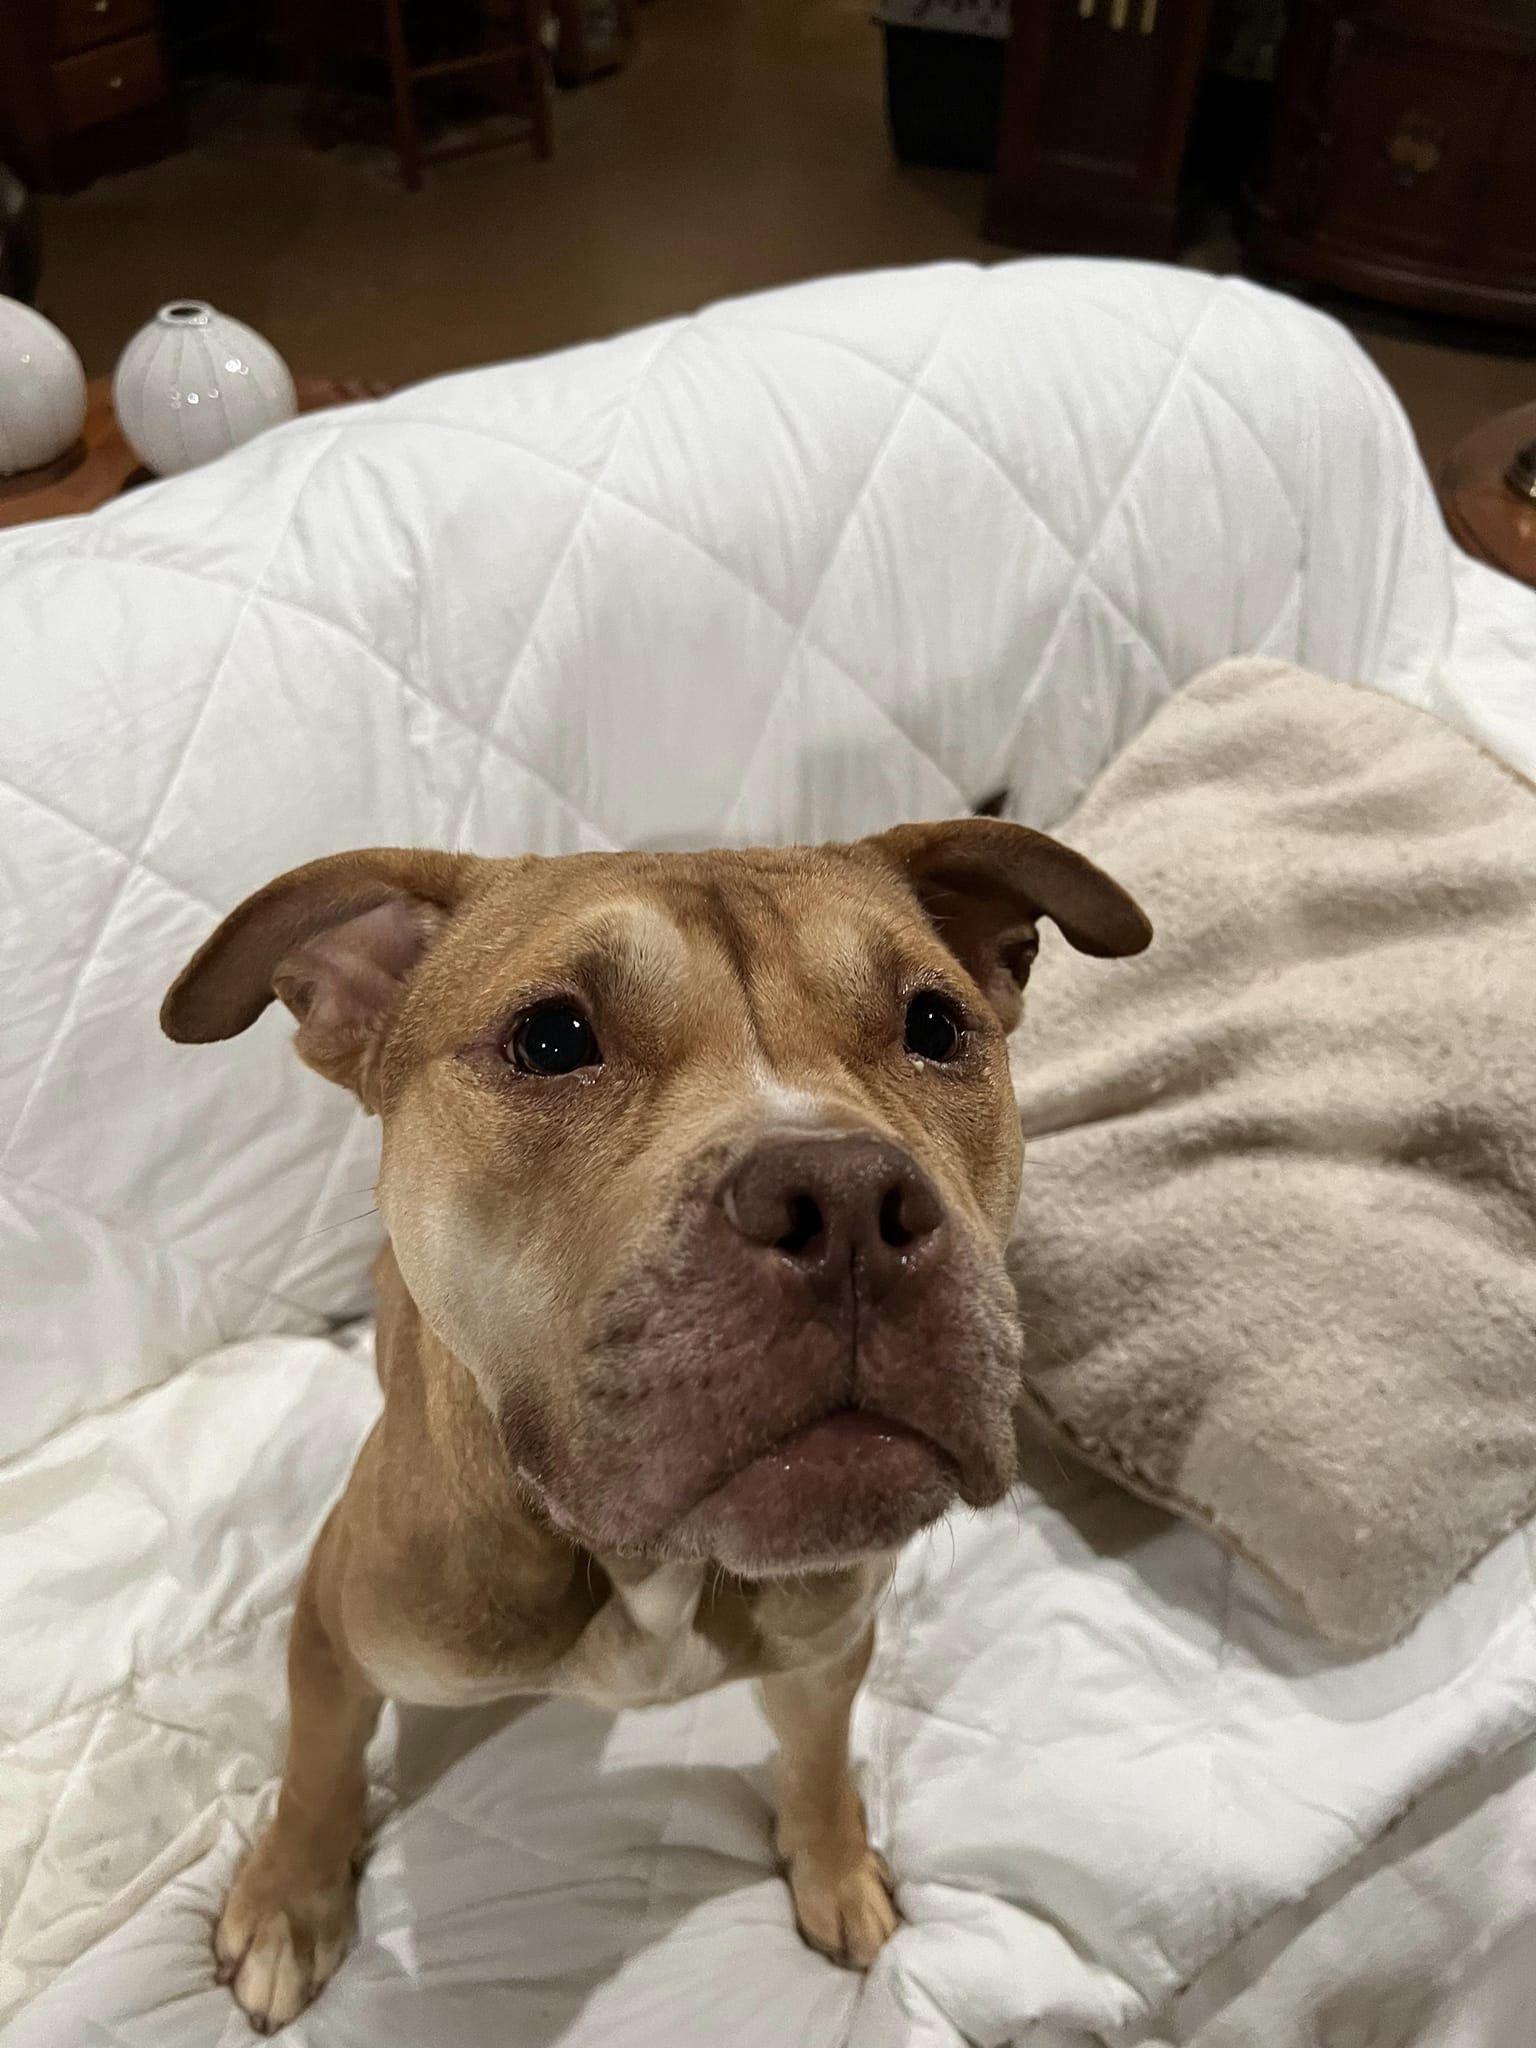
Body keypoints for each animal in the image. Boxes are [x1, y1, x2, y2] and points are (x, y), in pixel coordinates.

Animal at [162, 815, 1146, 2031]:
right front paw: (288, 1900)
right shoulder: (337, 1626)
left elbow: (820, 1761)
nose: (848, 1203)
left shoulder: (828, 1646)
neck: (651, 1566)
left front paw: (833, 1865)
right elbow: (315, 1764)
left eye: (934, 1024)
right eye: (549, 1038)